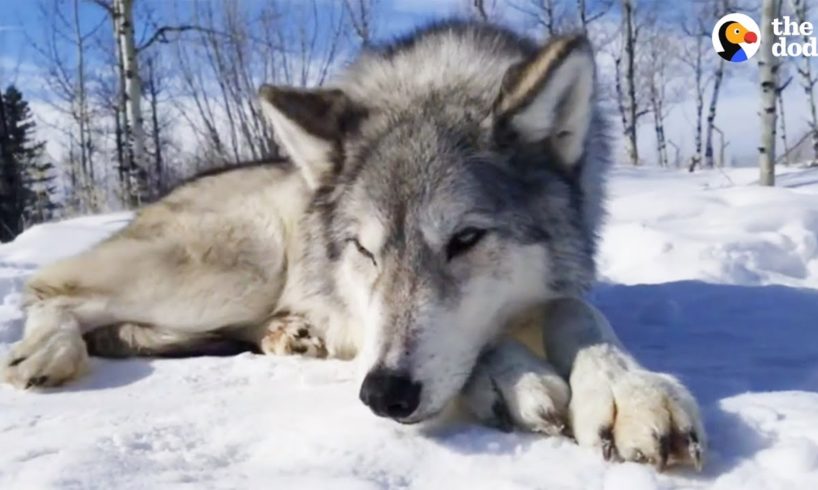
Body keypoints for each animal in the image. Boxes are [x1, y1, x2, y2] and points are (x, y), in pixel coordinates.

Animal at [1, 21, 700, 468]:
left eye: (466, 239)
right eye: (365, 252)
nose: (384, 394)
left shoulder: (561, 284)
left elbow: (579, 315)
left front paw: (628, 390)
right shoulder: (363, 318)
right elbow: (486, 341)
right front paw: (514, 378)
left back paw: (287, 334)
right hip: (241, 265)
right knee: (52, 287)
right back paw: (45, 354)